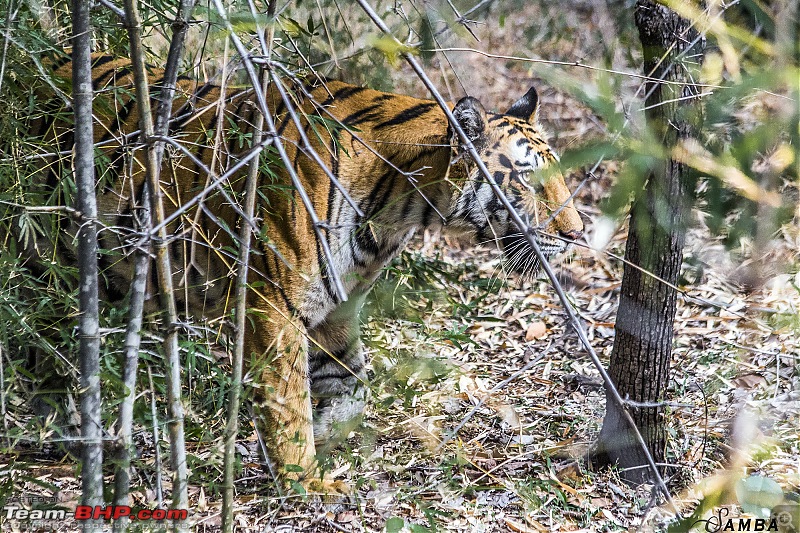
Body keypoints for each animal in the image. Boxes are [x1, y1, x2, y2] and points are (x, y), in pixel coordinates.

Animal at [18, 54, 580, 494]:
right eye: (529, 180)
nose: (576, 235)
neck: (401, 207)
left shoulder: (339, 307)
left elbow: (351, 388)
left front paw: (329, 442)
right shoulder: (273, 305)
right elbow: (288, 401)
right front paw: (305, 480)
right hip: (44, 255)